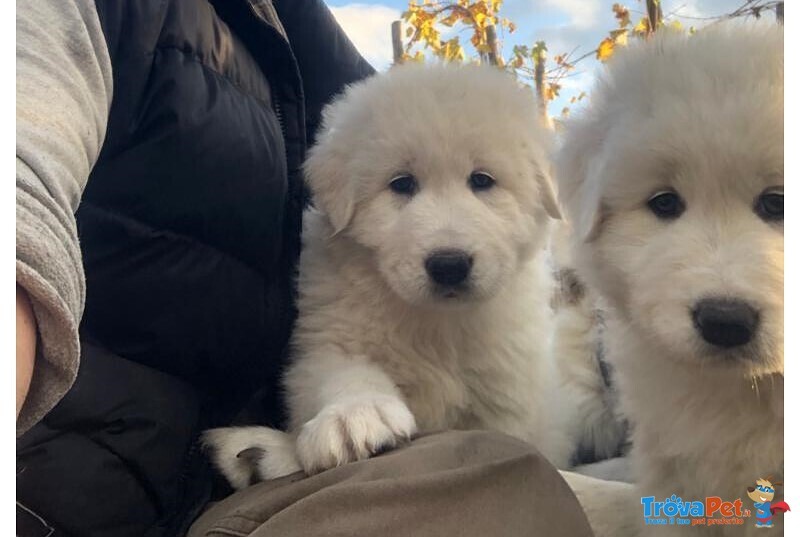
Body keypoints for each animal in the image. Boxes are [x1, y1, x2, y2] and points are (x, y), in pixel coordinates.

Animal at [206, 62, 568, 486]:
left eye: (482, 180)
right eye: (401, 184)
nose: (449, 265)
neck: (437, 324)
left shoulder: (508, 397)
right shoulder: (331, 335)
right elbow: (342, 370)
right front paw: (353, 416)